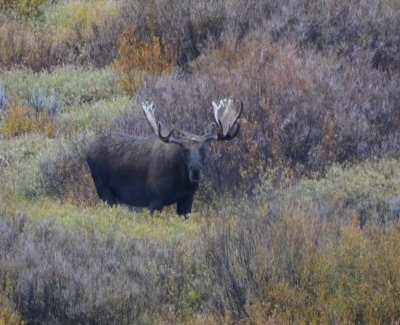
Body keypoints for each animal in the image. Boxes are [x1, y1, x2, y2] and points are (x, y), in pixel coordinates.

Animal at [86, 97, 242, 216]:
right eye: (184, 150)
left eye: (204, 149)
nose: (195, 172)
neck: (180, 180)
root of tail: (87, 151)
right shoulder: (155, 200)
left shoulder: (187, 199)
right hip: (104, 191)